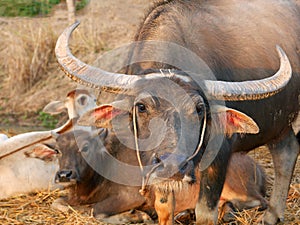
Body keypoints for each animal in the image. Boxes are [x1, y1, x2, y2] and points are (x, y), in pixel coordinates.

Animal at [55, 0, 298, 224]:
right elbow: (163, 208)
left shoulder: (219, 156)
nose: (173, 165)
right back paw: (272, 216)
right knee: (286, 152)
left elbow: (205, 213)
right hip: (278, 124)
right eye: (142, 107)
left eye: (199, 109)